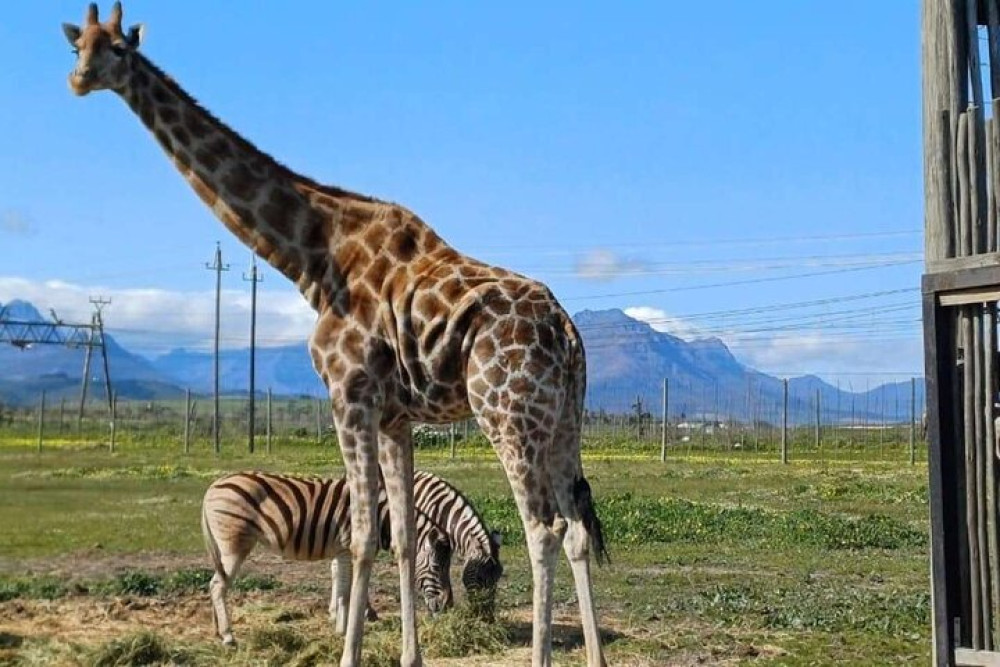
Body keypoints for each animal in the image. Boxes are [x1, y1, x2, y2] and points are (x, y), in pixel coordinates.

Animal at [61, 4, 609, 666]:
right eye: (78, 46)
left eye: (117, 49)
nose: (79, 80)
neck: (314, 258)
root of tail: (568, 333)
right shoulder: (396, 415)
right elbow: (402, 539)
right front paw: (409, 655)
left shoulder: (349, 393)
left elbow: (363, 538)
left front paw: (350, 653)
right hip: (564, 420)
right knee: (576, 529)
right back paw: (595, 657)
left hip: (506, 413)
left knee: (543, 530)